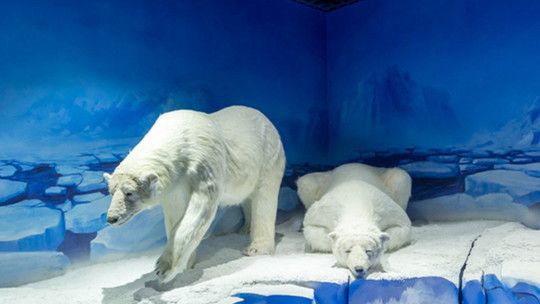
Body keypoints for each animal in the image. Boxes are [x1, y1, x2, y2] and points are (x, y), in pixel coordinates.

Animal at [103, 105, 284, 282]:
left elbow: (199, 210)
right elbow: (176, 212)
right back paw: (245, 228)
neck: (180, 137)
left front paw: (164, 268)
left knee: (264, 197)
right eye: (111, 192)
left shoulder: (205, 162)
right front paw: (186, 264)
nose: (112, 218)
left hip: (268, 156)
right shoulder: (176, 183)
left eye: (129, 193)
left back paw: (256, 248)